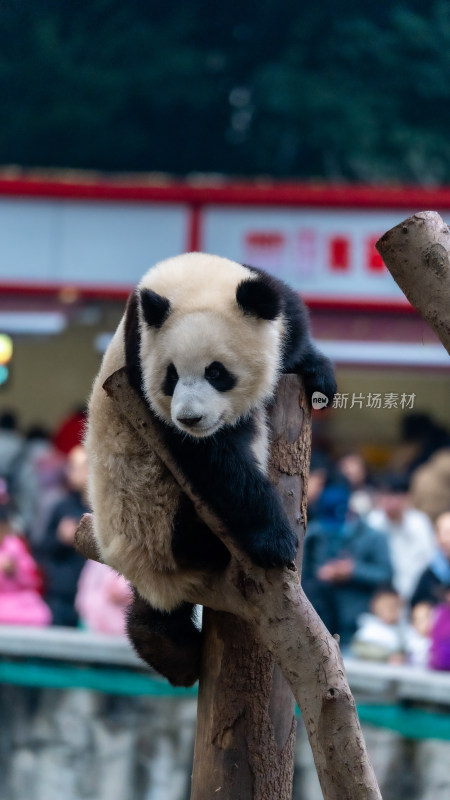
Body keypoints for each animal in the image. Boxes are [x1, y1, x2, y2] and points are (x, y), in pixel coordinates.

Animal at [86, 253, 336, 684]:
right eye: (170, 376)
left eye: (216, 372)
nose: (190, 417)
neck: (192, 277)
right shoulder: (139, 373)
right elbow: (215, 462)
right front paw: (275, 540)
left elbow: (293, 340)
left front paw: (320, 374)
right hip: (164, 520)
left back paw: (165, 645)